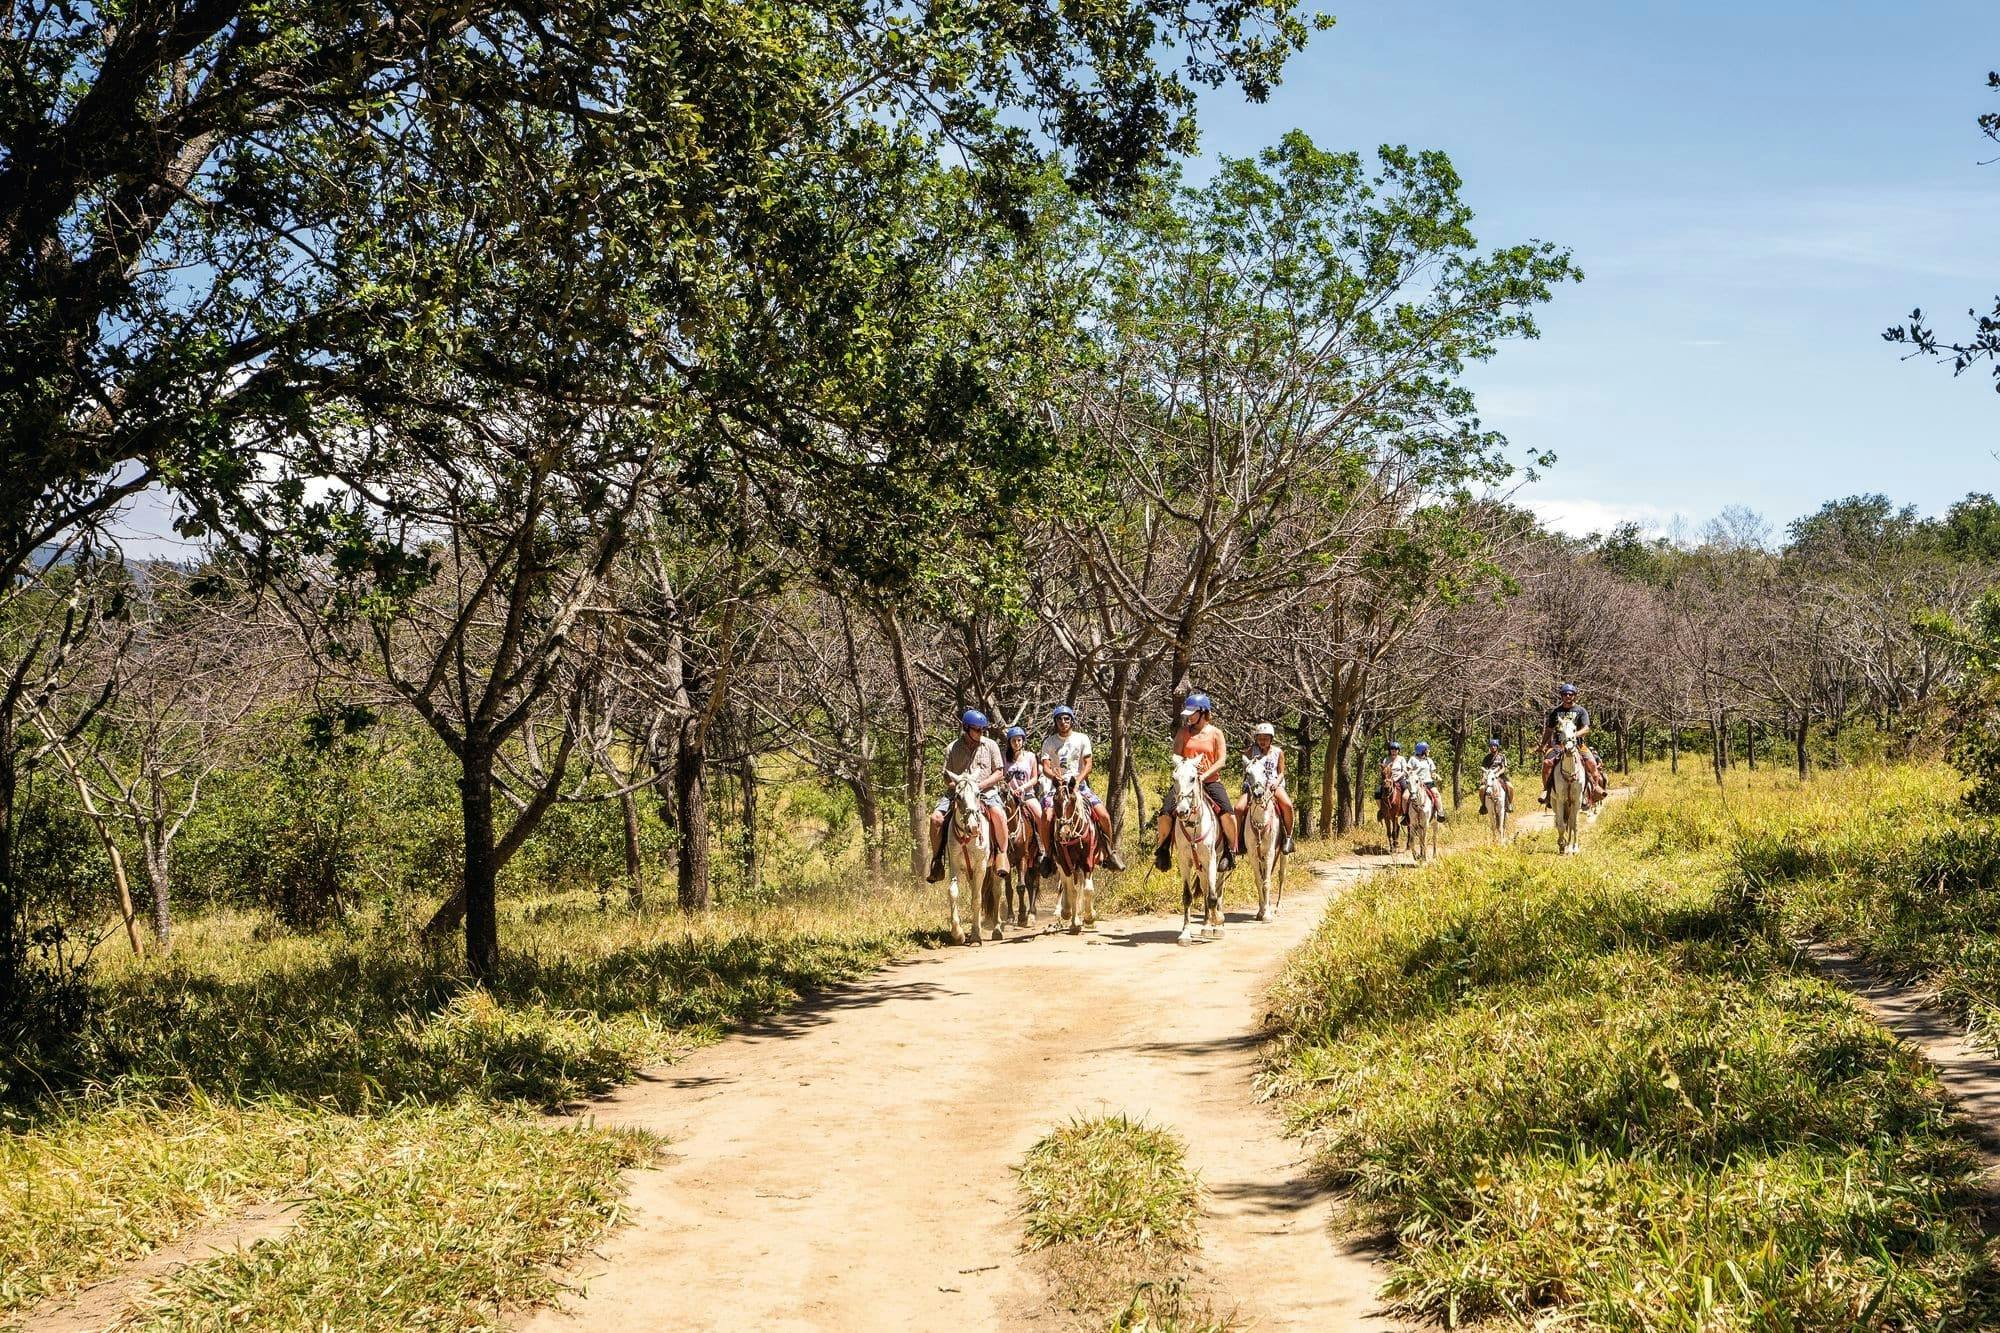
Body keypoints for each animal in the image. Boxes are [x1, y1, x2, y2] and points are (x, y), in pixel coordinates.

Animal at [940, 764, 996, 940]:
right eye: (958, 796)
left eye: (978, 794)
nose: (973, 827)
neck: (967, 837)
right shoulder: (955, 865)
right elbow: (953, 892)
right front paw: (957, 933)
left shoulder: (981, 867)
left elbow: (977, 899)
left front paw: (976, 935)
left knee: (997, 892)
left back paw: (997, 929)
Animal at [1168, 752, 1216, 940]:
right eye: (1174, 778)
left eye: (1193, 778)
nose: (1182, 811)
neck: (1193, 825)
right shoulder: (1184, 861)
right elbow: (1188, 896)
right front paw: (1185, 933)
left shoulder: (1210, 859)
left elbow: (1213, 896)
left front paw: (1218, 924)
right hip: (1200, 866)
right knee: (1204, 888)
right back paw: (1206, 924)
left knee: (1213, 890)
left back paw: (1214, 924)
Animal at [1240, 756, 1288, 912]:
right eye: (1248, 773)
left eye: (1264, 771)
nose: (1258, 794)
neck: (1261, 822)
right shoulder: (1253, 854)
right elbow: (1259, 881)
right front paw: (1262, 910)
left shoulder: (1269, 852)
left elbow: (1267, 882)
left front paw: (1267, 914)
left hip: (1283, 853)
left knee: (1281, 875)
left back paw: (1277, 905)